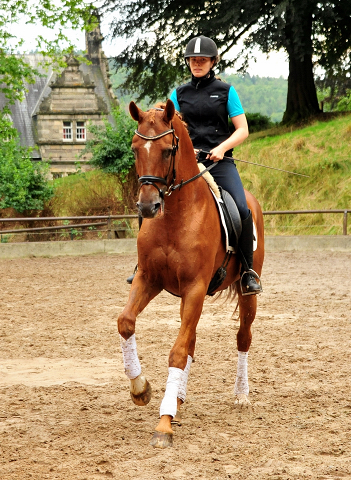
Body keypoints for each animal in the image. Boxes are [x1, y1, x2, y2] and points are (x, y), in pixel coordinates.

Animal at [117, 99, 264, 448]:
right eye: (135, 148)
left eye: (168, 150)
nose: (148, 207)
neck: (176, 215)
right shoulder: (149, 279)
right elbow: (126, 322)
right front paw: (141, 389)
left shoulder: (195, 287)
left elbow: (177, 353)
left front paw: (164, 425)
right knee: (192, 341)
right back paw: (178, 399)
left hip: (244, 293)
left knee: (243, 338)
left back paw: (241, 395)